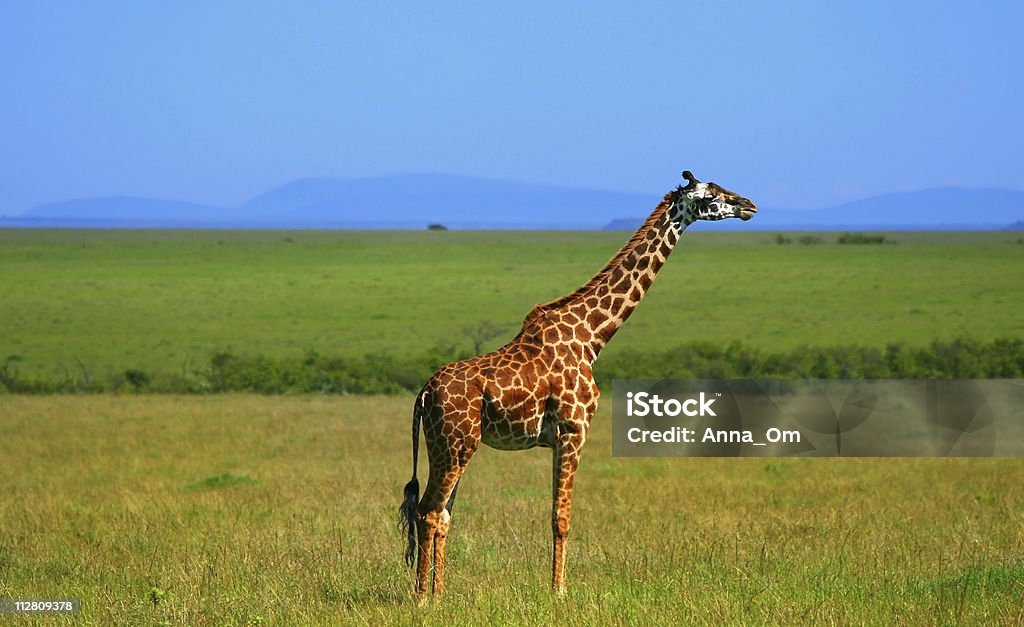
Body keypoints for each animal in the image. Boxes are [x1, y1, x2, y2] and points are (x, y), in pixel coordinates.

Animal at [395, 170, 757, 598]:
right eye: (711, 196)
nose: (749, 205)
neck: (592, 337)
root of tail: (423, 395)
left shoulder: (559, 437)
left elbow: (557, 514)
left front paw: (556, 588)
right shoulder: (574, 429)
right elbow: (561, 517)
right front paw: (559, 592)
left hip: (452, 446)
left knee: (441, 513)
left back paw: (440, 593)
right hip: (454, 444)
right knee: (428, 511)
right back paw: (423, 598)